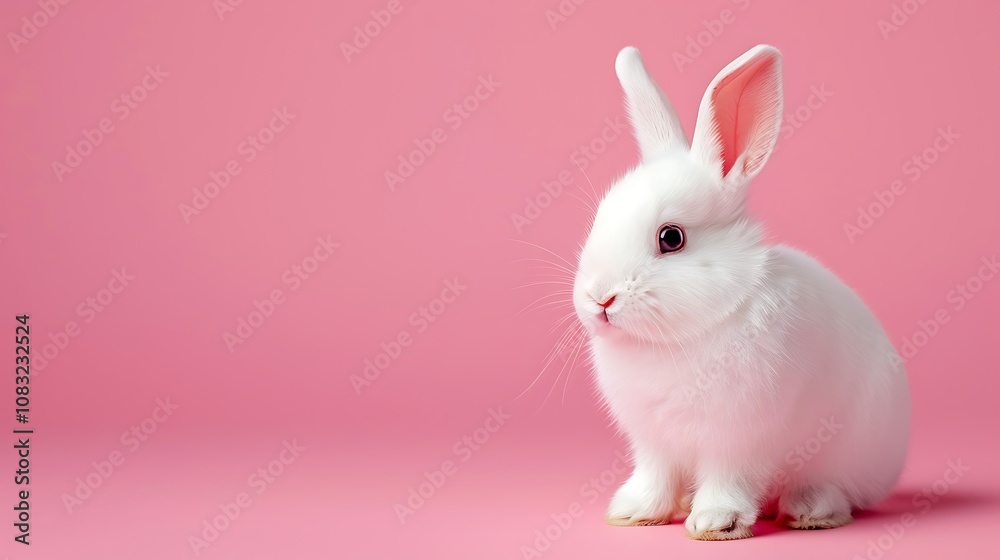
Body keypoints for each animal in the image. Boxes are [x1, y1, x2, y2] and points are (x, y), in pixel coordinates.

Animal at [571, 44, 910, 540]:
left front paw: (716, 522)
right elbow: (654, 475)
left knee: (833, 488)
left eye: (671, 238)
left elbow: (727, 478)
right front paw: (633, 512)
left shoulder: (738, 439)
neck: (682, 335)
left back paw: (810, 511)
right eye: (599, 217)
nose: (599, 299)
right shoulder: (653, 442)